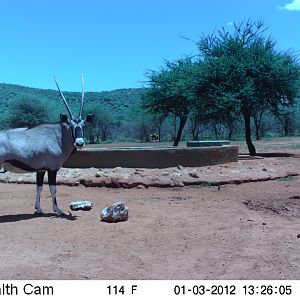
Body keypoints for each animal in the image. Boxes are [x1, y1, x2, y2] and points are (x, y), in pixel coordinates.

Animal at [0, 75, 94, 216]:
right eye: (72, 126)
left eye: (84, 126)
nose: (79, 143)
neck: (58, 137)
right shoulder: (52, 169)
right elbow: (53, 188)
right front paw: (58, 210)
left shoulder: (41, 169)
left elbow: (39, 187)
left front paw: (38, 209)